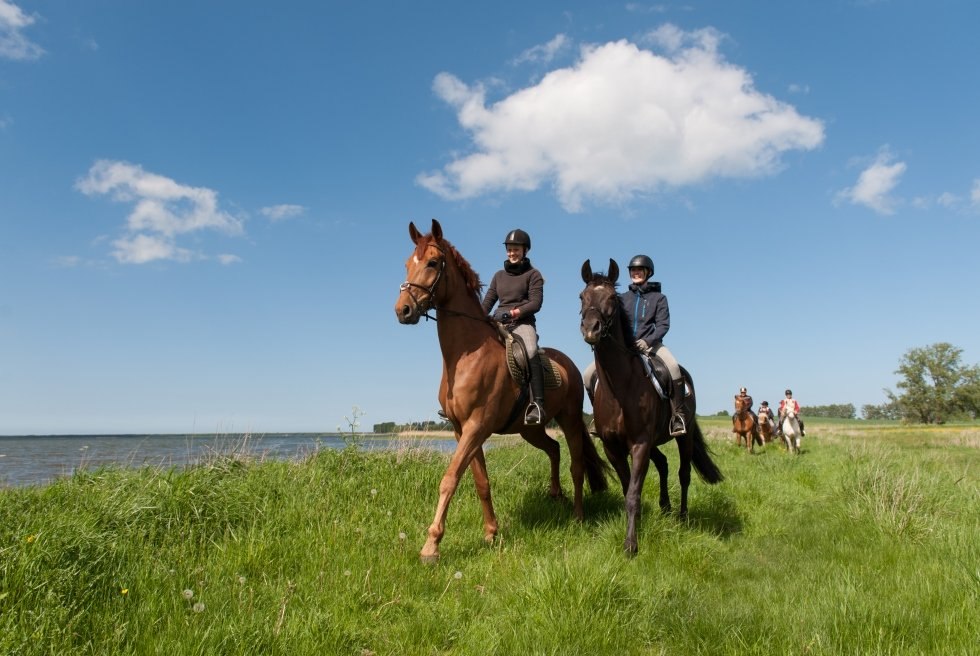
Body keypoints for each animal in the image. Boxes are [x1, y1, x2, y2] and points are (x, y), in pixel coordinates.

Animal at [390, 220, 604, 564]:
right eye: (408, 263)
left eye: (433, 263)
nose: (403, 310)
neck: (465, 355)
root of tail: (568, 363)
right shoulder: (461, 430)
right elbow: (481, 481)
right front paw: (491, 533)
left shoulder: (477, 427)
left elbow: (450, 479)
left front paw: (431, 546)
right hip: (531, 429)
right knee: (553, 450)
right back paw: (555, 494)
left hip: (570, 420)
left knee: (577, 465)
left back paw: (577, 517)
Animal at [580, 258, 724, 556]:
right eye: (581, 296)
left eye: (611, 298)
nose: (590, 329)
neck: (620, 387)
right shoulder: (614, 447)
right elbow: (627, 489)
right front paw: (635, 530)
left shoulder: (639, 445)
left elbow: (634, 493)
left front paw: (630, 545)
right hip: (655, 441)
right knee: (664, 464)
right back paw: (665, 508)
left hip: (683, 437)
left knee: (683, 473)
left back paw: (681, 516)